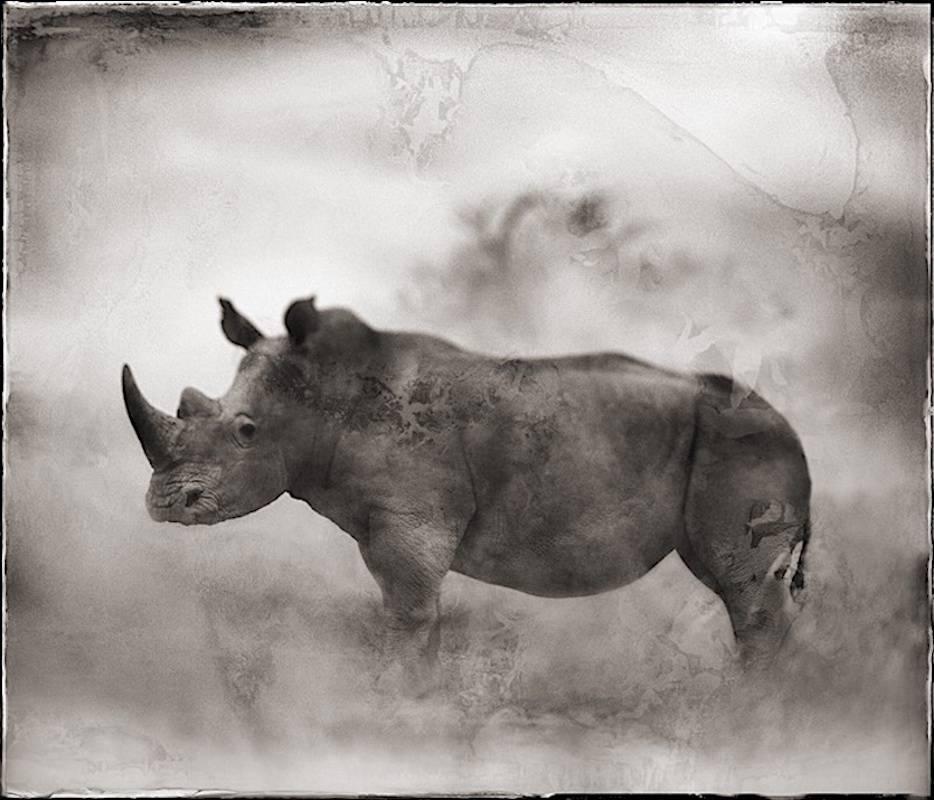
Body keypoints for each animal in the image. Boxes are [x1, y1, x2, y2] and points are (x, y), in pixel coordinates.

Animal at [124, 296, 812, 692]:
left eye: (245, 433)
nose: (164, 505)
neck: (323, 395)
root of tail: (791, 426)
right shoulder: (390, 522)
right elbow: (416, 611)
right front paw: (423, 700)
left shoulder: (410, 514)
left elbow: (407, 612)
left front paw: (393, 701)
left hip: (743, 442)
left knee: (745, 593)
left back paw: (746, 715)